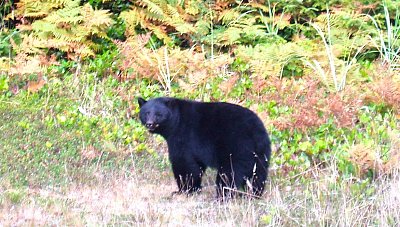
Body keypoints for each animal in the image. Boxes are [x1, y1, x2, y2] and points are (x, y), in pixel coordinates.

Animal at [138, 96, 272, 198]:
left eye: (158, 114)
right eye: (146, 113)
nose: (150, 123)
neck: (175, 121)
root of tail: (256, 133)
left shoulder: (183, 136)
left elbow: (183, 164)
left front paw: (184, 190)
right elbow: (197, 165)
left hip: (237, 148)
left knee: (229, 174)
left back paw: (222, 196)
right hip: (262, 153)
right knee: (259, 174)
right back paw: (254, 194)